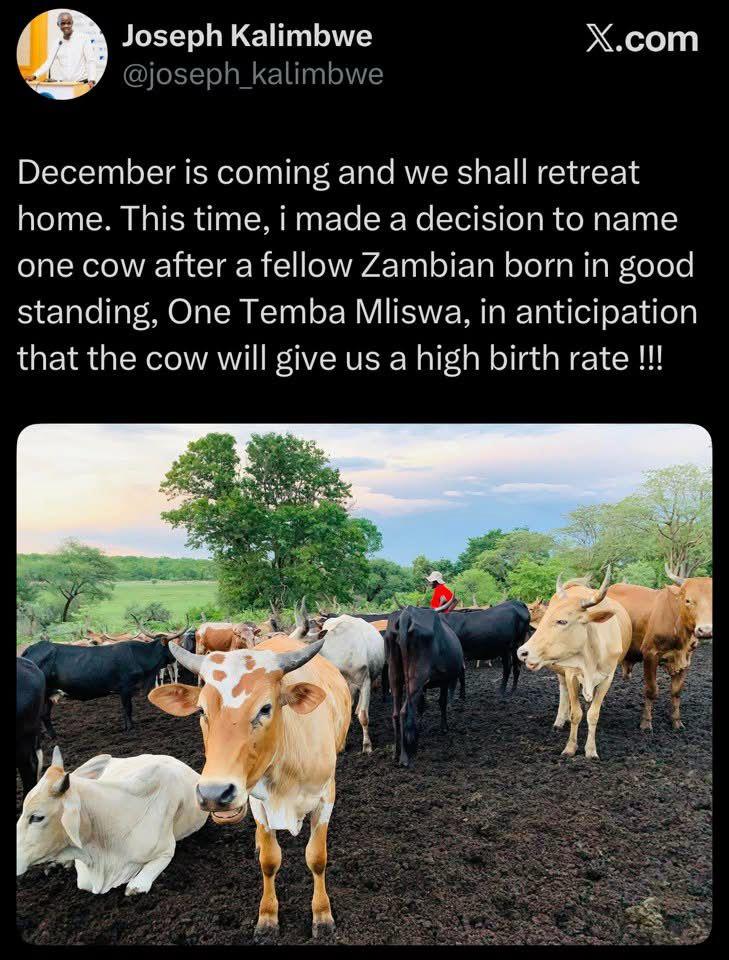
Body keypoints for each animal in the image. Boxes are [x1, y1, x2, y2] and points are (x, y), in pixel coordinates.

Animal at [22, 637, 177, 733]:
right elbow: (128, 709)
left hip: (49, 693)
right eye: (170, 647)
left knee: (45, 715)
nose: (174, 658)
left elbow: (125, 709)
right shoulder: (126, 687)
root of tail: (33, 648)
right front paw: (130, 728)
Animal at [148, 633, 351, 941]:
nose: (213, 794)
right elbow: (269, 860)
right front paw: (267, 917)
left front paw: (322, 914)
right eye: (202, 710)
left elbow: (316, 857)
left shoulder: (326, 795)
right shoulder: (257, 802)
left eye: (265, 708)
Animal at [385, 606, 465, 767]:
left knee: (396, 712)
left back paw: (396, 753)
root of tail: (406, 614)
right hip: (417, 677)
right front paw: (444, 728)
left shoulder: (425, 687)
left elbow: (422, 706)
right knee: (404, 711)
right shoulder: (444, 680)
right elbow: (442, 702)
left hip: (394, 674)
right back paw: (405, 757)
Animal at [517, 567, 632, 759]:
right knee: (564, 692)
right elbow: (576, 713)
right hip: (562, 672)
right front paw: (570, 747)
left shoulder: (608, 677)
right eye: (545, 618)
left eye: (562, 621)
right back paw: (560, 720)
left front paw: (591, 750)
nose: (523, 652)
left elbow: (593, 714)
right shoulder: (571, 674)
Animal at [607, 565, 713, 731]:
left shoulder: (686, 659)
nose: (706, 630)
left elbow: (676, 691)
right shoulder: (650, 655)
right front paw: (646, 722)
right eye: (688, 600)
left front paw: (676, 721)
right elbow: (651, 690)